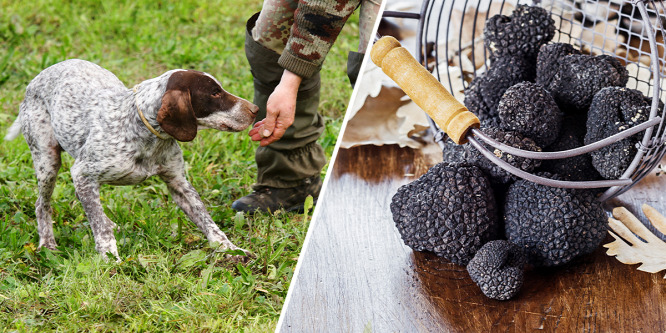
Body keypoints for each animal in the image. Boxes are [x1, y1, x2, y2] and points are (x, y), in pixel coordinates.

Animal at [5, 59, 260, 260]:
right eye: (215, 93)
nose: (256, 109)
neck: (145, 134)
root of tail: (38, 77)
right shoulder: (83, 174)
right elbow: (100, 228)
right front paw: (110, 258)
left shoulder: (179, 183)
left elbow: (208, 222)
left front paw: (230, 249)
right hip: (47, 161)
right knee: (42, 205)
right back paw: (48, 244)